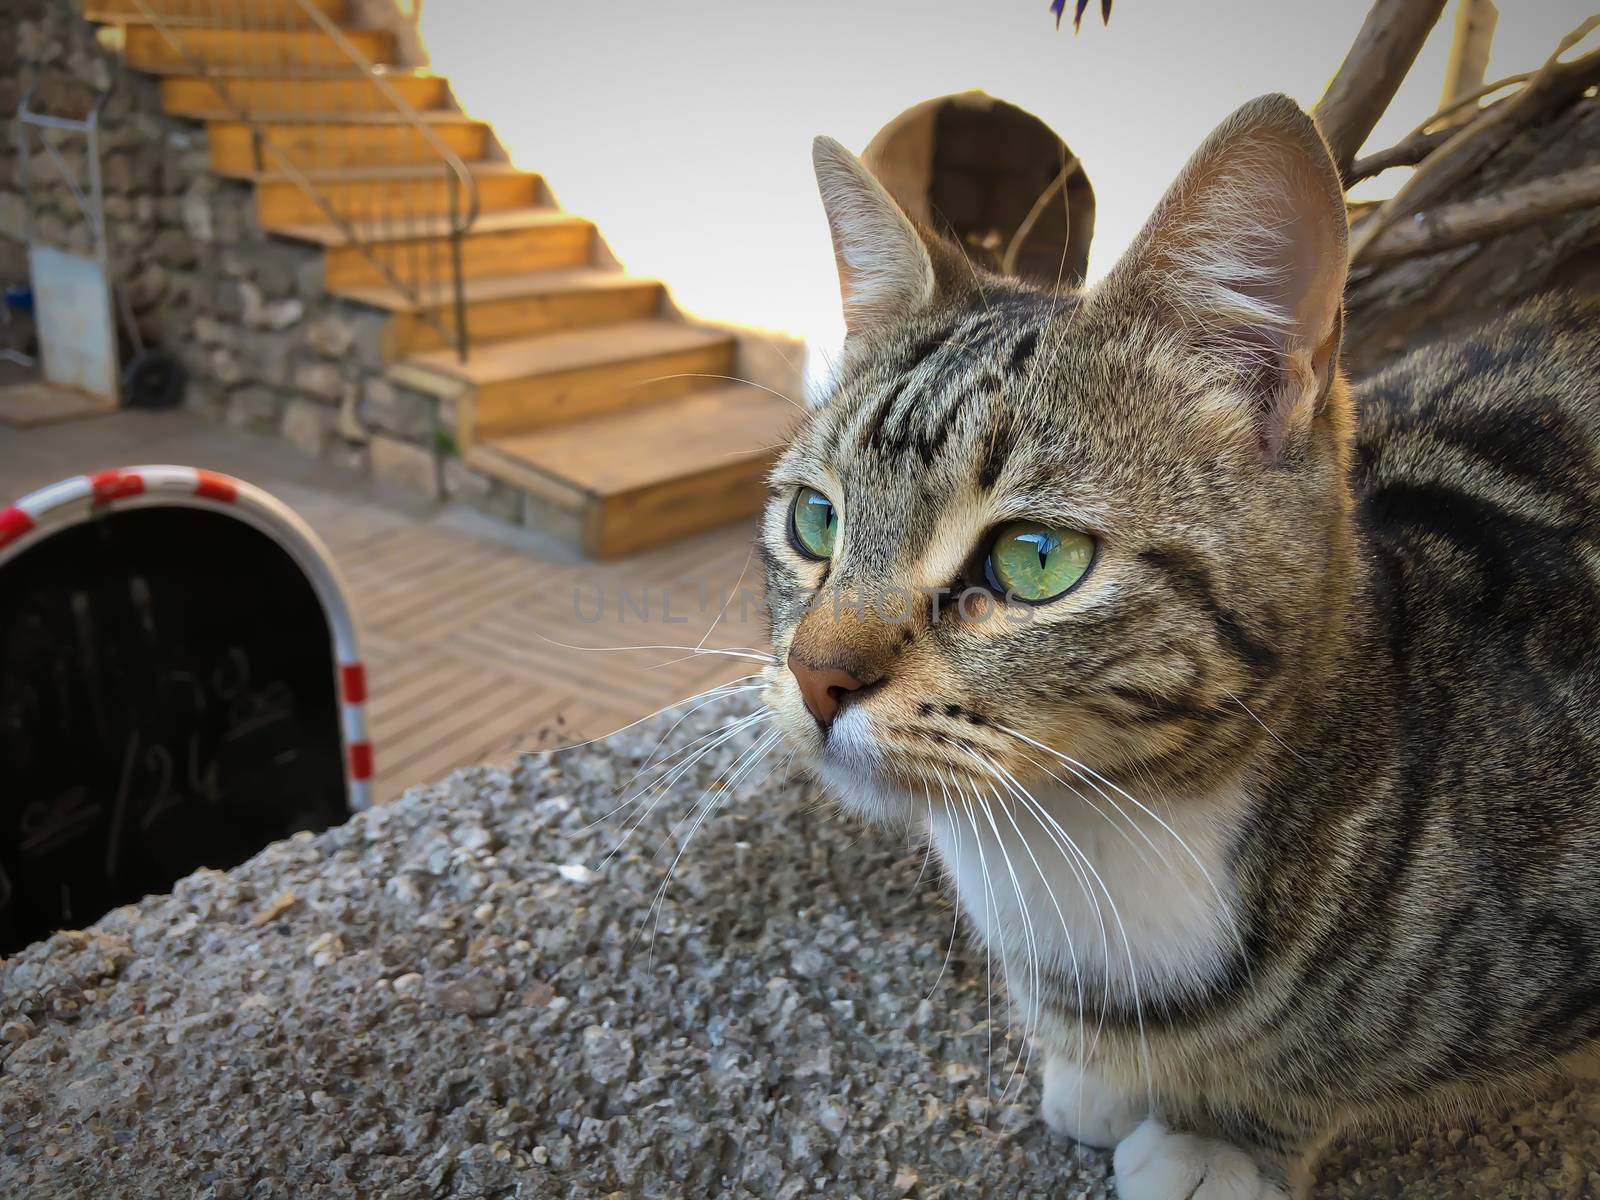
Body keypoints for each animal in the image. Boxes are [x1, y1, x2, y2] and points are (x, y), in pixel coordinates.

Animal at [755, 96, 1600, 1200]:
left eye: (1033, 558)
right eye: (815, 521)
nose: (815, 674)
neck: (1087, 834)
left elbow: (1307, 1070)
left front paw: (1222, 1141)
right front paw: (1100, 1074)